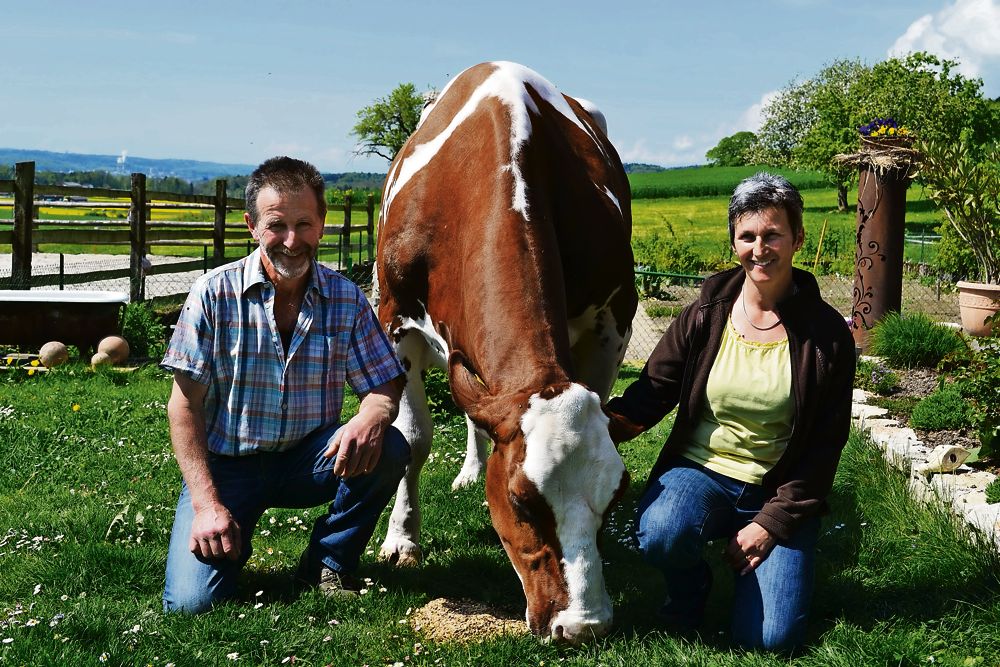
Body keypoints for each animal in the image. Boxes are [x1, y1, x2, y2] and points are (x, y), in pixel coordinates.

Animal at [375, 61, 638, 644]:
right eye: (520, 500)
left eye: (617, 495)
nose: (582, 626)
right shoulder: (395, 321)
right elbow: (413, 438)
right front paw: (401, 540)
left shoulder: (614, 323)